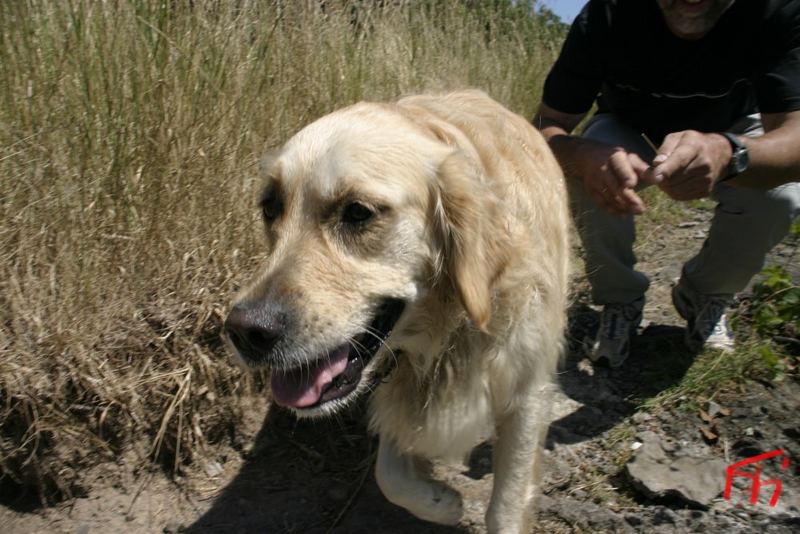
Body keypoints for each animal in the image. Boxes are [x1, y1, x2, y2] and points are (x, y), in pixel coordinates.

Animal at [223, 90, 568, 532]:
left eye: (357, 212)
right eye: (270, 207)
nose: (244, 332)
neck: (452, 332)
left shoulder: (528, 393)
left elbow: (505, 507)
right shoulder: (396, 379)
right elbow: (390, 474)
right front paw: (442, 502)